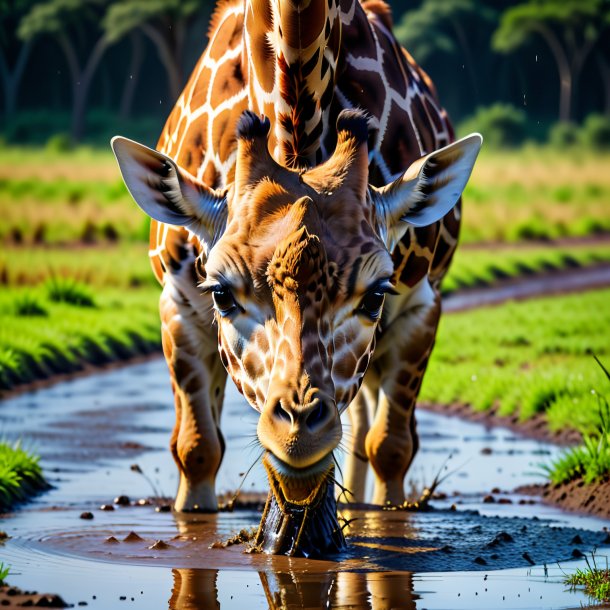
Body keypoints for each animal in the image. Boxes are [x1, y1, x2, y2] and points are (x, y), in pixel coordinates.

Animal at [111, 0, 478, 532]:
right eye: (221, 293)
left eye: (375, 294)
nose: (298, 434)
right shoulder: (178, 303)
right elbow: (196, 449)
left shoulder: (418, 307)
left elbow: (390, 448)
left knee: (366, 431)